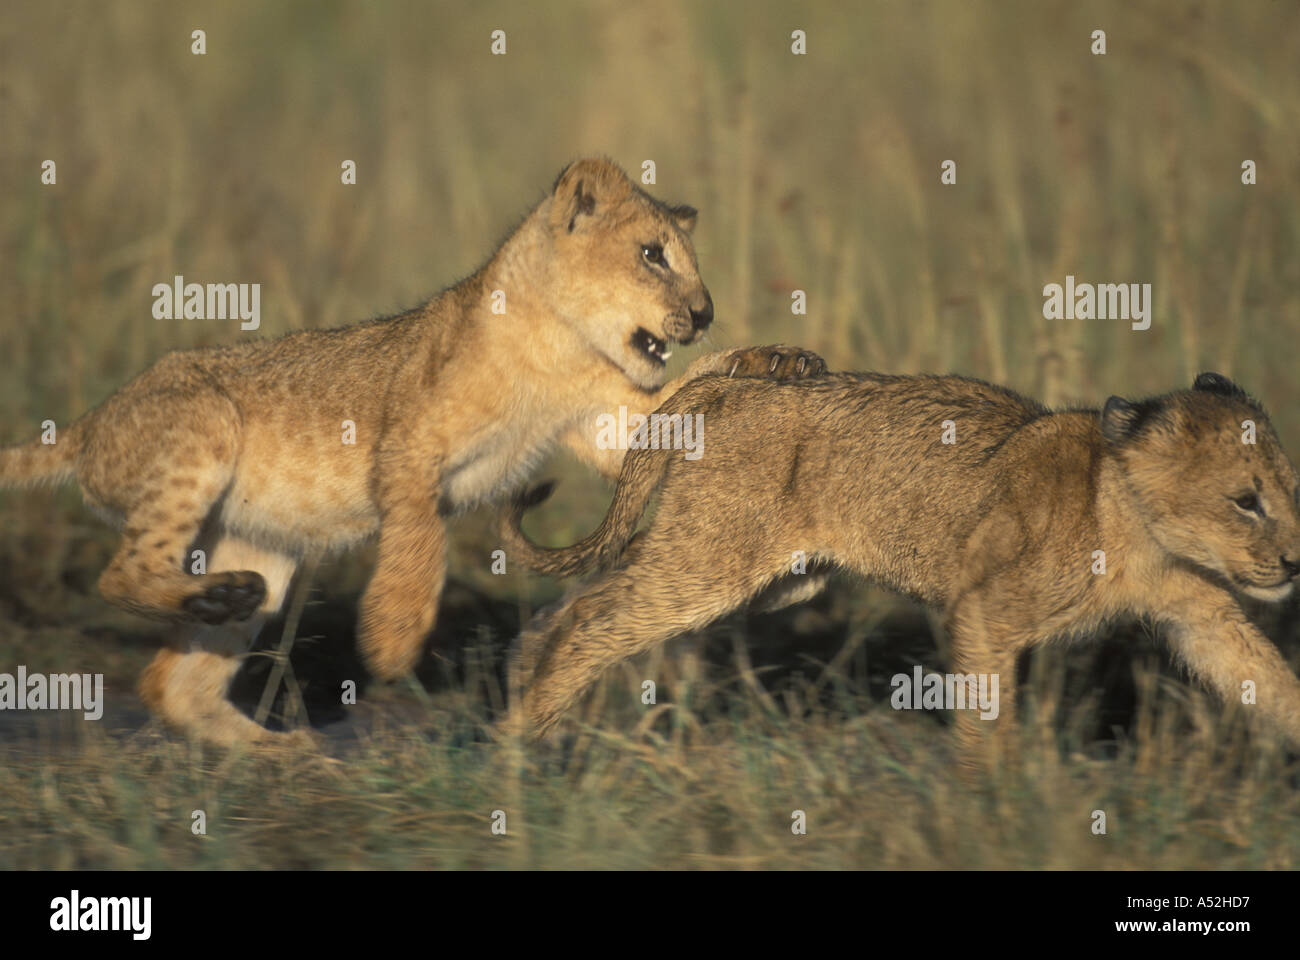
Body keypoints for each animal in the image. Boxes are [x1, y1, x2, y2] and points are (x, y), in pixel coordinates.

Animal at [0, 156, 824, 745]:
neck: (558, 345)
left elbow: (683, 399)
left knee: (172, 683)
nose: (705, 313)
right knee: (119, 575)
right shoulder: (405, 444)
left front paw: (775, 359)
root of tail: (90, 422)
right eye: (653, 254)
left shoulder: (609, 420)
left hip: (259, 542)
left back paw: (280, 748)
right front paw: (394, 637)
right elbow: (421, 535)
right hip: (201, 427)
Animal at [501, 371, 1300, 768]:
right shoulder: (983, 609)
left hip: (772, 578)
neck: (1142, 531)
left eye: (1288, 492)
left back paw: (523, 681)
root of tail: (735, 384)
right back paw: (523, 735)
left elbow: (1270, 680)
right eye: (1247, 501)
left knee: (574, 602)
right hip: (713, 562)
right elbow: (987, 721)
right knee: (596, 617)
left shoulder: (1204, 616)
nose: (1296, 560)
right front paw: (993, 810)